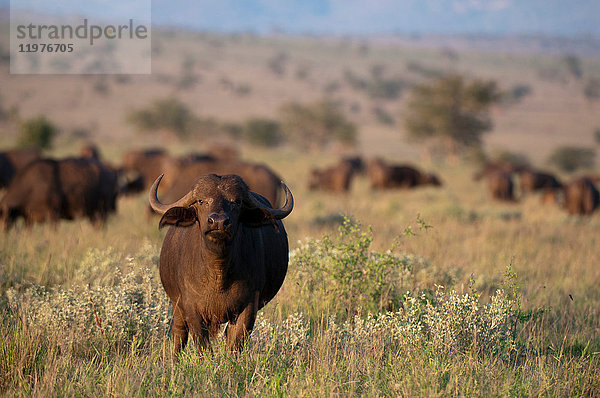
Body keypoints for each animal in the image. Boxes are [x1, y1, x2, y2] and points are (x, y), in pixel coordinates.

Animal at [148, 173, 292, 352]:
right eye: (201, 201)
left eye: (237, 201)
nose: (218, 222)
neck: (218, 273)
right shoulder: (191, 309)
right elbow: (202, 346)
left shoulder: (248, 307)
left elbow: (235, 343)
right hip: (176, 305)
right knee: (179, 334)